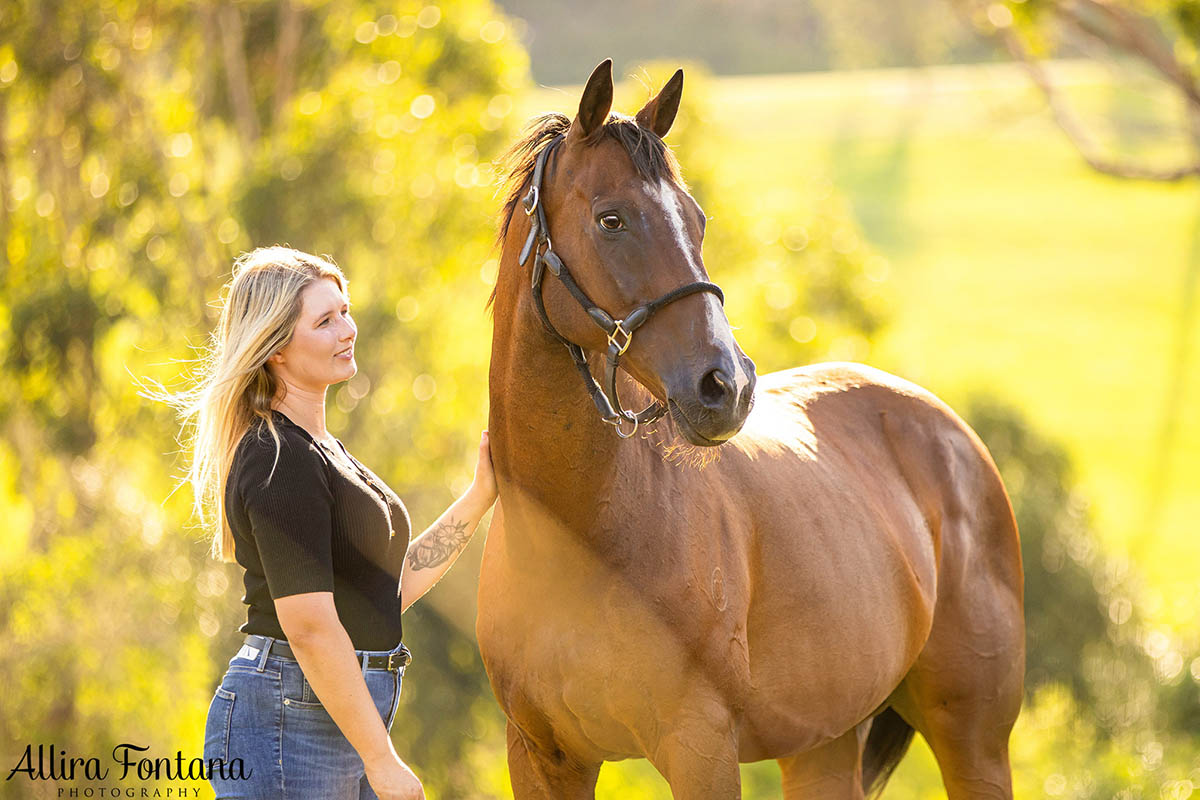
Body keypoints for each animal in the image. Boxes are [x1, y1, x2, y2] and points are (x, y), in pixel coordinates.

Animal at [475, 59, 1022, 796]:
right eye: (611, 218)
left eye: (697, 219)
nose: (726, 385)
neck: (579, 536)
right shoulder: (541, 757)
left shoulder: (700, 746)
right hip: (825, 743)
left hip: (973, 742)